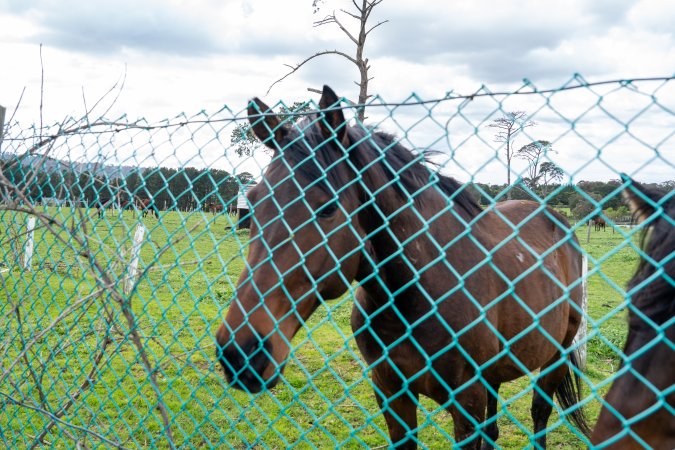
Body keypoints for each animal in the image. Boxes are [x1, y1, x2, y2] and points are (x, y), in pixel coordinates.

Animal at [215, 86, 590, 449]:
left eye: (328, 208)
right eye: (254, 203)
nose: (240, 353)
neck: (417, 296)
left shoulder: (466, 401)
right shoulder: (391, 392)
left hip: (556, 354)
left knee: (539, 412)